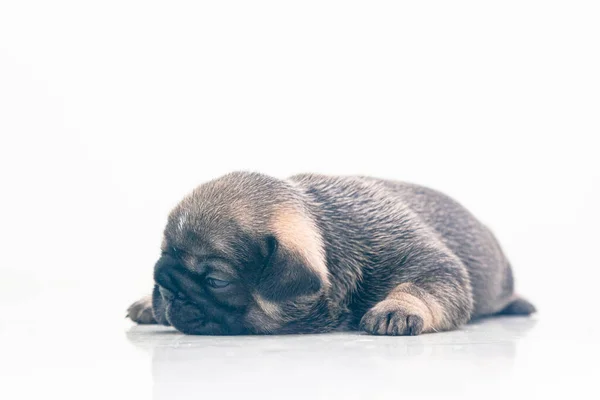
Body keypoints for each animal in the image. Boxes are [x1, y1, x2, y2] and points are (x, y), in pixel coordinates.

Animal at [126, 172, 536, 334]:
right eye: (161, 258)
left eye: (215, 280)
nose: (166, 289)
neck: (329, 230)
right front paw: (148, 302)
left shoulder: (427, 264)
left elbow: (425, 285)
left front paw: (397, 307)